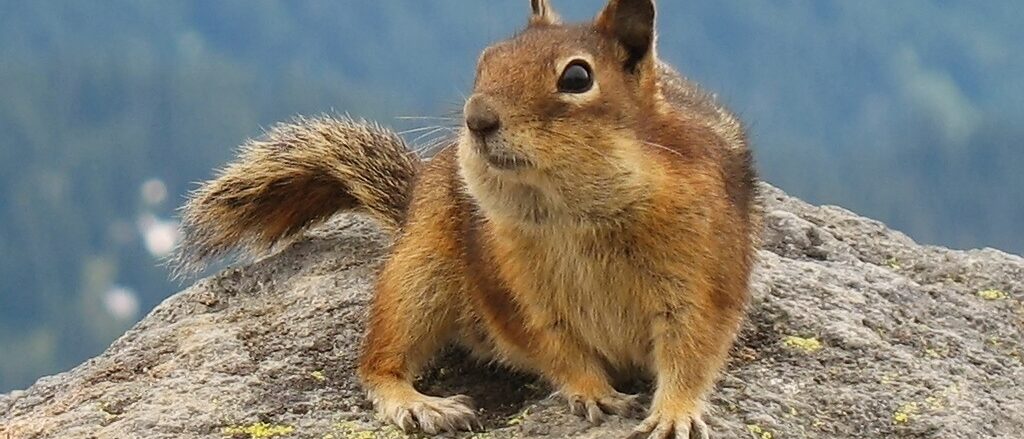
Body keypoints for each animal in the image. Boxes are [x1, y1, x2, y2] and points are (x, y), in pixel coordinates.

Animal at [173, 1, 759, 438]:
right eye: (486, 60)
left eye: (577, 76)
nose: (476, 118)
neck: (574, 215)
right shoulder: (518, 293)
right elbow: (556, 348)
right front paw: (592, 392)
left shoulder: (702, 278)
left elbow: (693, 351)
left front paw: (675, 413)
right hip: (417, 276)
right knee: (377, 362)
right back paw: (421, 404)